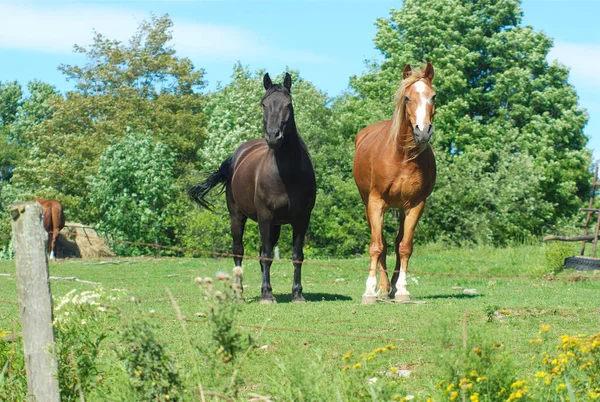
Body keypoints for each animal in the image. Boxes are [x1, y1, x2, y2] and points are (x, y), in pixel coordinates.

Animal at [190, 73, 316, 304]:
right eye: (263, 104)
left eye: (288, 104)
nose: (274, 136)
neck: (286, 174)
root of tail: (235, 157)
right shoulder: (265, 216)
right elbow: (266, 255)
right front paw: (267, 295)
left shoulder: (302, 218)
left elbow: (296, 256)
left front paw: (297, 293)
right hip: (237, 217)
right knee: (238, 252)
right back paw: (239, 294)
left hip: (275, 225)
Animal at [352, 62, 436, 304]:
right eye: (407, 97)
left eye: (433, 97)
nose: (422, 132)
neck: (402, 156)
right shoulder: (375, 202)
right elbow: (376, 246)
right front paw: (369, 291)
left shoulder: (416, 204)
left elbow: (405, 246)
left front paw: (403, 290)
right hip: (368, 204)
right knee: (381, 242)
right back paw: (382, 288)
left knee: (398, 242)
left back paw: (392, 287)